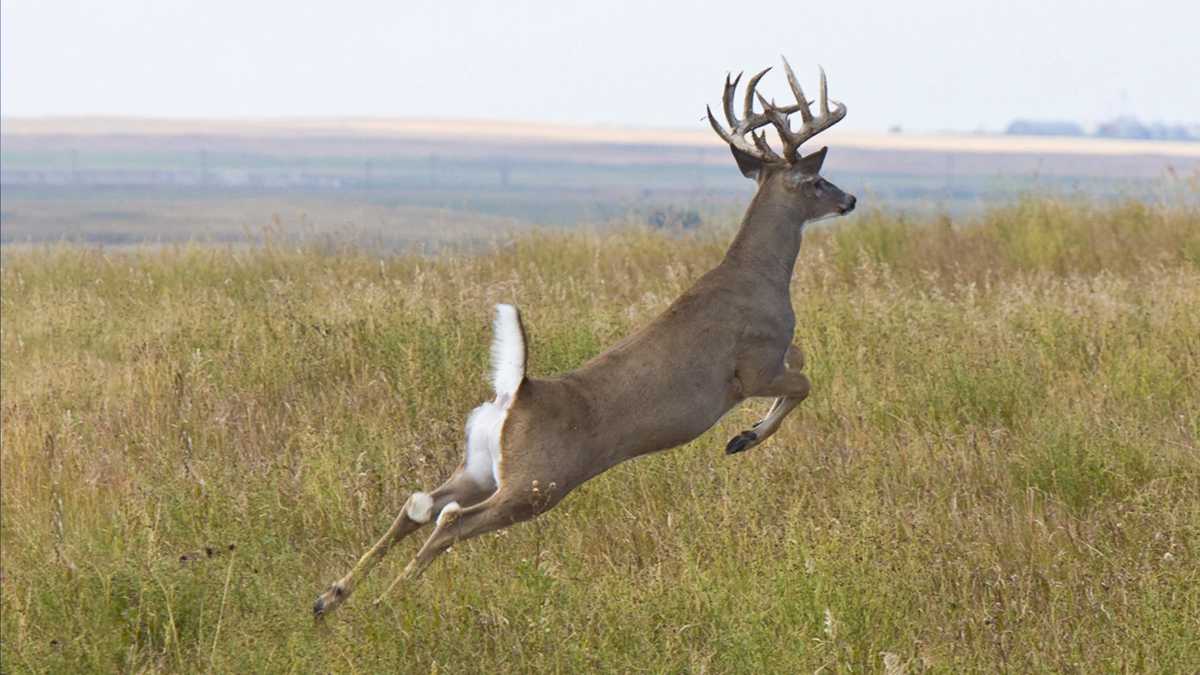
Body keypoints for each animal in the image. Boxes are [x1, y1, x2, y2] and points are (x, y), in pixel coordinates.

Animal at [313, 57, 856, 618]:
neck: (759, 276)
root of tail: (517, 392)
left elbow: (803, 361)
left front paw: (743, 435)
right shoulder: (753, 367)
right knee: (449, 521)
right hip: (537, 483)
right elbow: (805, 381)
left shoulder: (771, 359)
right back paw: (385, 603)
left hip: (482, 467)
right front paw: (742, 438)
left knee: (417, 505)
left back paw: (330, 598)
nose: (851, 199)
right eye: (817, 180)